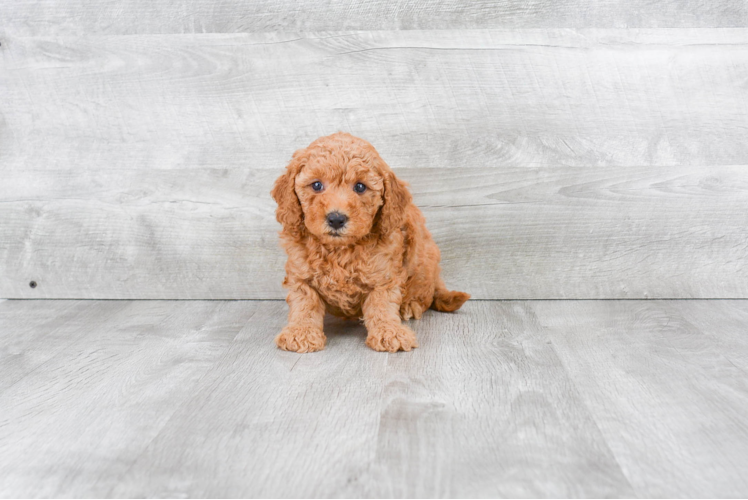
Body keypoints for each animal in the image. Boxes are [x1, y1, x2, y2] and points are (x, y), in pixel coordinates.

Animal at [270, 132, 468, 352]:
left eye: (360, 187)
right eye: (316, 185)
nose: (336, 219)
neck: (339, 250)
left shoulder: (384, 275)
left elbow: (382, 304)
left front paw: (390, 331)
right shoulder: (301, 273)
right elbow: (305, 303)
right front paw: (301, 332)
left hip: (423, 261)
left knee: (424, 292)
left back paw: (410, 305)